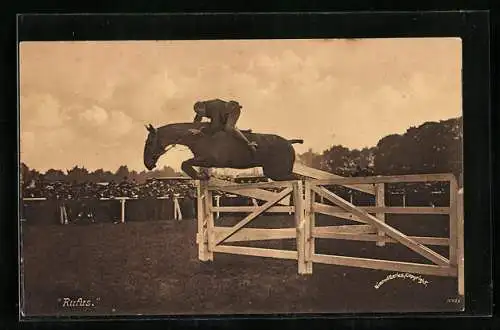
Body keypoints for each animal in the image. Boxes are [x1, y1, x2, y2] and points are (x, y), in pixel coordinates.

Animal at [143, 122, 302, 182]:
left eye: (150, 142)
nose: (147, 164)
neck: (198, 137)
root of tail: (289, 142)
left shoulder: (210, 160)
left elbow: (185, 164)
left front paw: (200, 176)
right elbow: (187, 164)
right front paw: (203, 176)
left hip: (278, 173)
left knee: (301, 179)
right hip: (275, 173)